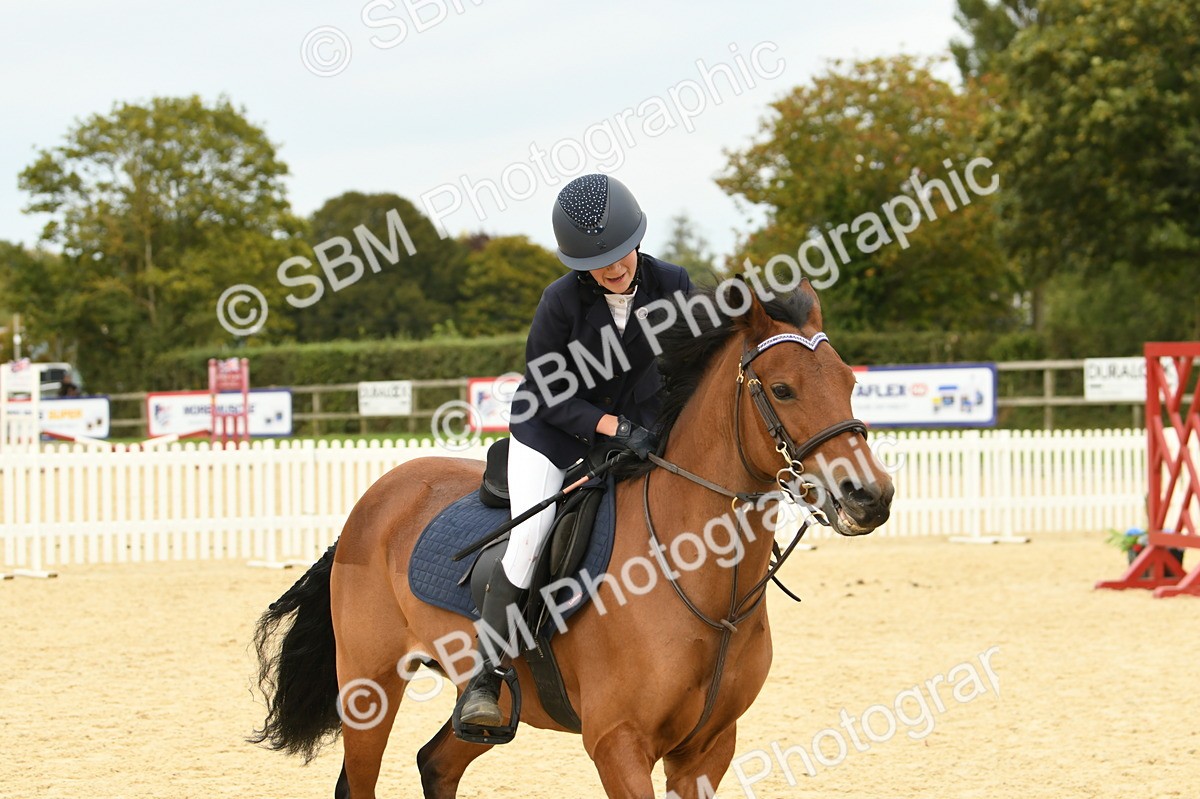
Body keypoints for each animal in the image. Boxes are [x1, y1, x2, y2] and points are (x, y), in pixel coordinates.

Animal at [251, 280, 894, 798]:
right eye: (783, 390)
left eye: (849, 382)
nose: (871, 496)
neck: (706, 583)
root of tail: (377, 496)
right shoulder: (619, 743)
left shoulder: (707, 749)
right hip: (369, 686)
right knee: (360, 780)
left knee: (435, 764)